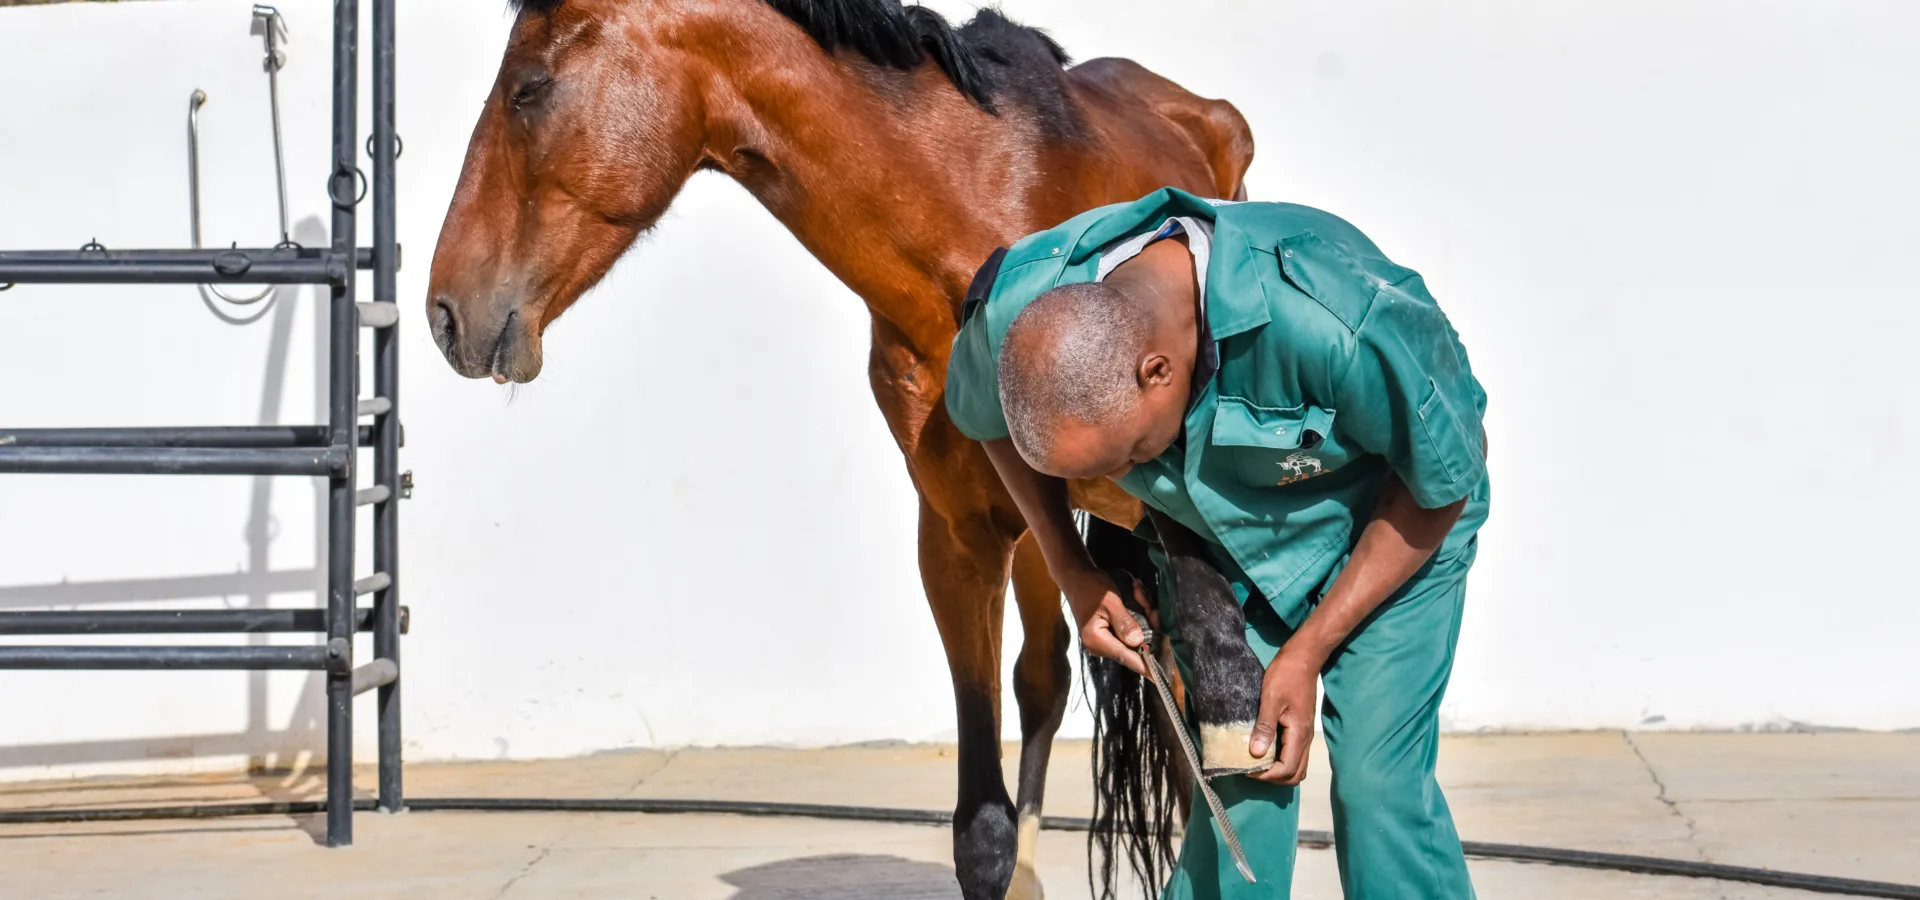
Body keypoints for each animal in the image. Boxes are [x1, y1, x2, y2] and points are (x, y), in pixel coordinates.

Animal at [425, 2, 1253, 897]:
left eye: (528, 88)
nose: (444, 311)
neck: (976, 227)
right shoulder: (961, 536)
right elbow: (983, 829)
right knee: (1047, 674)